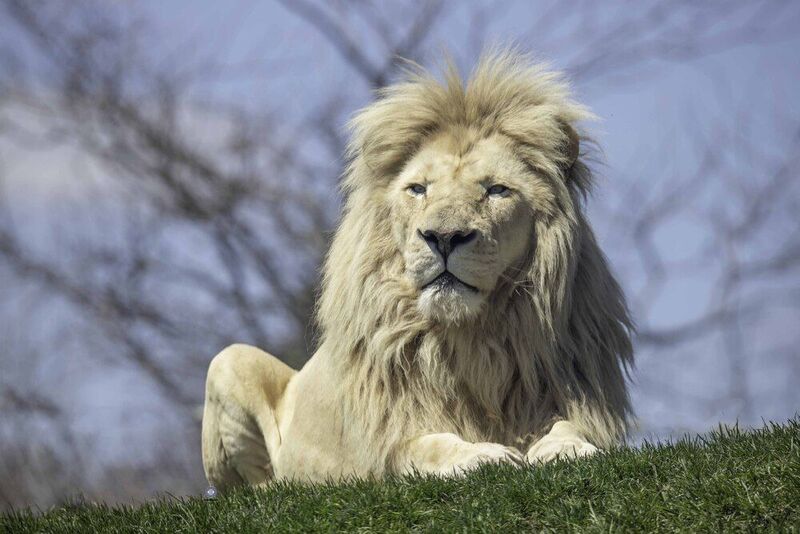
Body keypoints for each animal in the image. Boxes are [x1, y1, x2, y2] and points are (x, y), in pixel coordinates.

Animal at [201, 50, 633, 489]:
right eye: (418, 189)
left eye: (497, 190)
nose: (443, 238)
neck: (474, 340)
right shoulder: (389, 440)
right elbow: (430, 445)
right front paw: (485, 456)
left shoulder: (575, 397)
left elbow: (569, 427)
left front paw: (570, 449)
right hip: (228, 361)